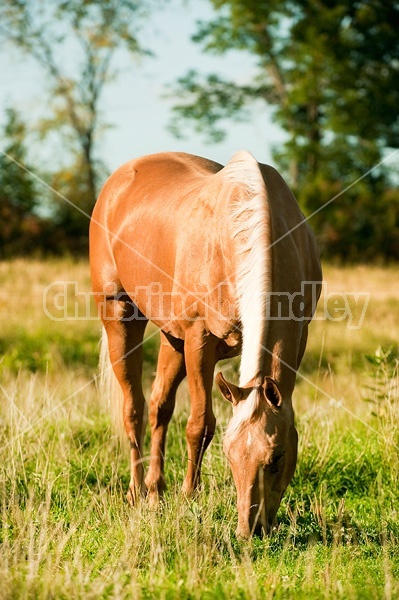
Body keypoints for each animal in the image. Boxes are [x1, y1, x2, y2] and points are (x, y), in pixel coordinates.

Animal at [90, 151, 322, 540]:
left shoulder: (299, 334)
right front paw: (189, 498)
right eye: (229, 455)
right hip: (121, 316)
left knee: (159, 406)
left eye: (277, 458)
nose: (250, 529)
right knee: (133, 407)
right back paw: (136, 492)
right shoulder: (200, 340)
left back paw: (155, 492)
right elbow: (200, 425)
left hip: (173, 338)